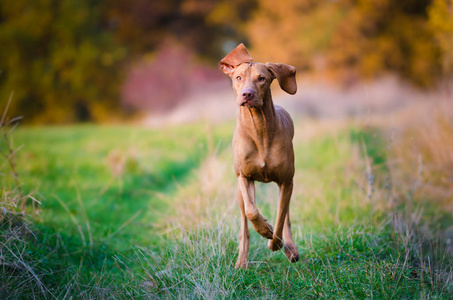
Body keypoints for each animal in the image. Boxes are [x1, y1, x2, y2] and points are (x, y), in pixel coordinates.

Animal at [220, 42, 300, 270]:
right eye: (238, 77)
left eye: (262, 78)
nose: (246, 94)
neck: (258, 127)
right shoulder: (244, 177)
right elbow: (252, 212)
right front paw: (265, 229)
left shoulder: (286, 182)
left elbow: (281, 217)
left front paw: (276, 243)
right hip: (240, 193)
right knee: (245, 224)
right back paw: (242, 261)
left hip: (288, 184)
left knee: (286, 215)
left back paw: (289, 247)